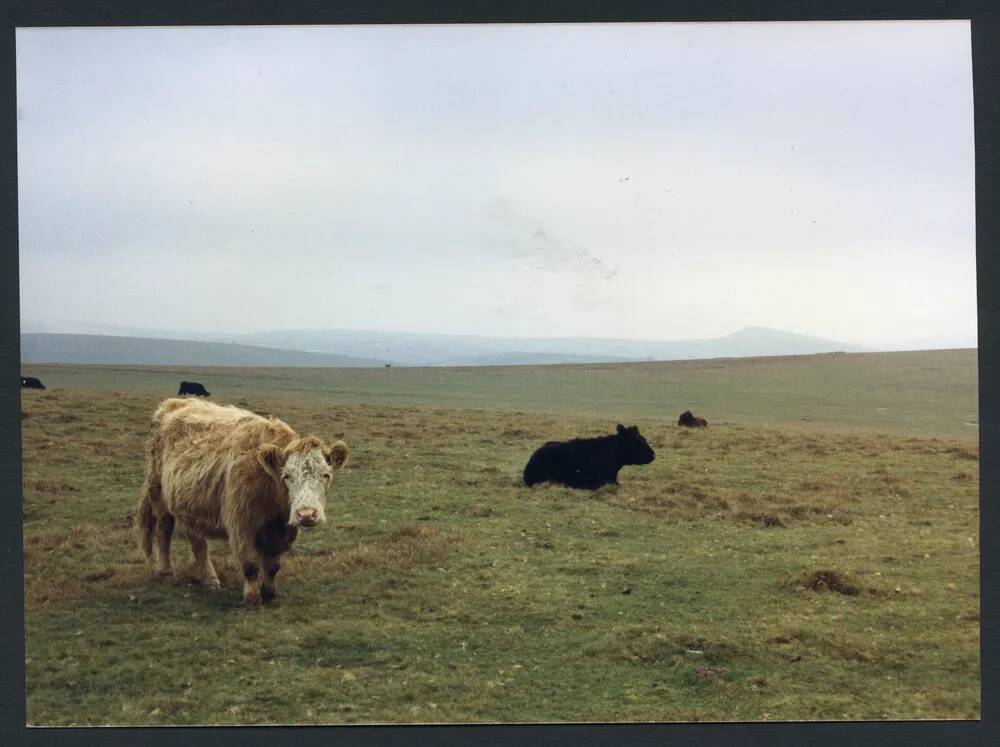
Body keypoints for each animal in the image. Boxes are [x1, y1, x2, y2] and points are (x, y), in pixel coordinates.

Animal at [137, 400, 348, 612]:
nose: (306, 514)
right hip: (159, 496)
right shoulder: (242, 525)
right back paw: (166, 573)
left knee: (197, 540)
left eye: (325, 475)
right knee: (164, 531)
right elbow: (250, 564)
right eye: (287, 476)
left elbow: (273, 565)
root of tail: (174, 403)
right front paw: (252, 600)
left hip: (190, 504)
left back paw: (209, 578)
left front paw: (269, 593)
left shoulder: (280, 532)